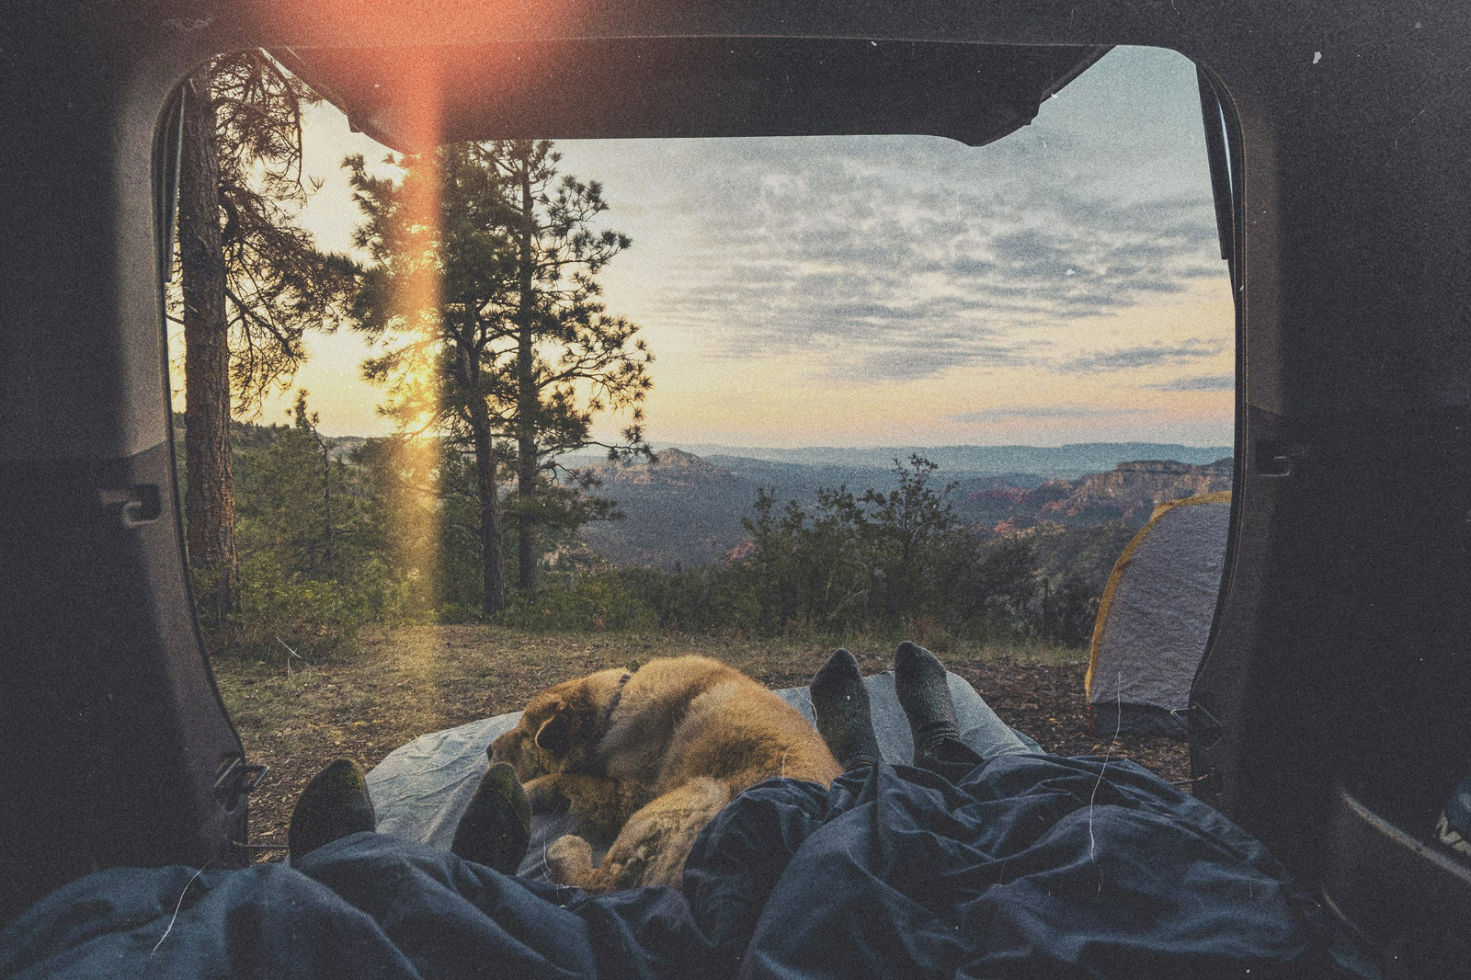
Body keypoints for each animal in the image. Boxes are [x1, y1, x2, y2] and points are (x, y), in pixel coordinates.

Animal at [491, 653, 841, 888]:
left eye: (526, 736)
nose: (488, 750)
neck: (615, 707)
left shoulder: (627, 796)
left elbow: (564, 778)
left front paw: (526, 788)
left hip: (700, 791)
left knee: (603, 883)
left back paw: (566, 850)